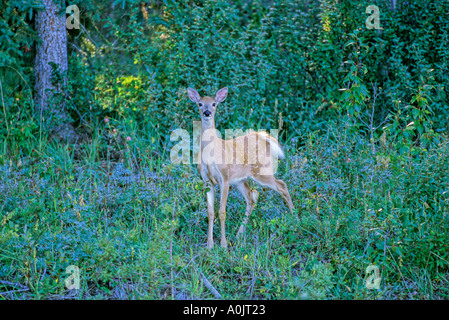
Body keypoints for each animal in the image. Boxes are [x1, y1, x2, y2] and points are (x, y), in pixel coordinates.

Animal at [186, 87, 294, 250]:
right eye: (200, 104)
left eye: (214, 104)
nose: (207, 112)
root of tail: (264, 137)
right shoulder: (207, 181)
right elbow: (210, 213)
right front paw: (210, 245)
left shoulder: (224, 177)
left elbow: (222, 211)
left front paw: (223, 245)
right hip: (240, 180)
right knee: (252, 195)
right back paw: (239, 234)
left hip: (262, 172)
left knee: (282, 185)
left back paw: (295, 218)